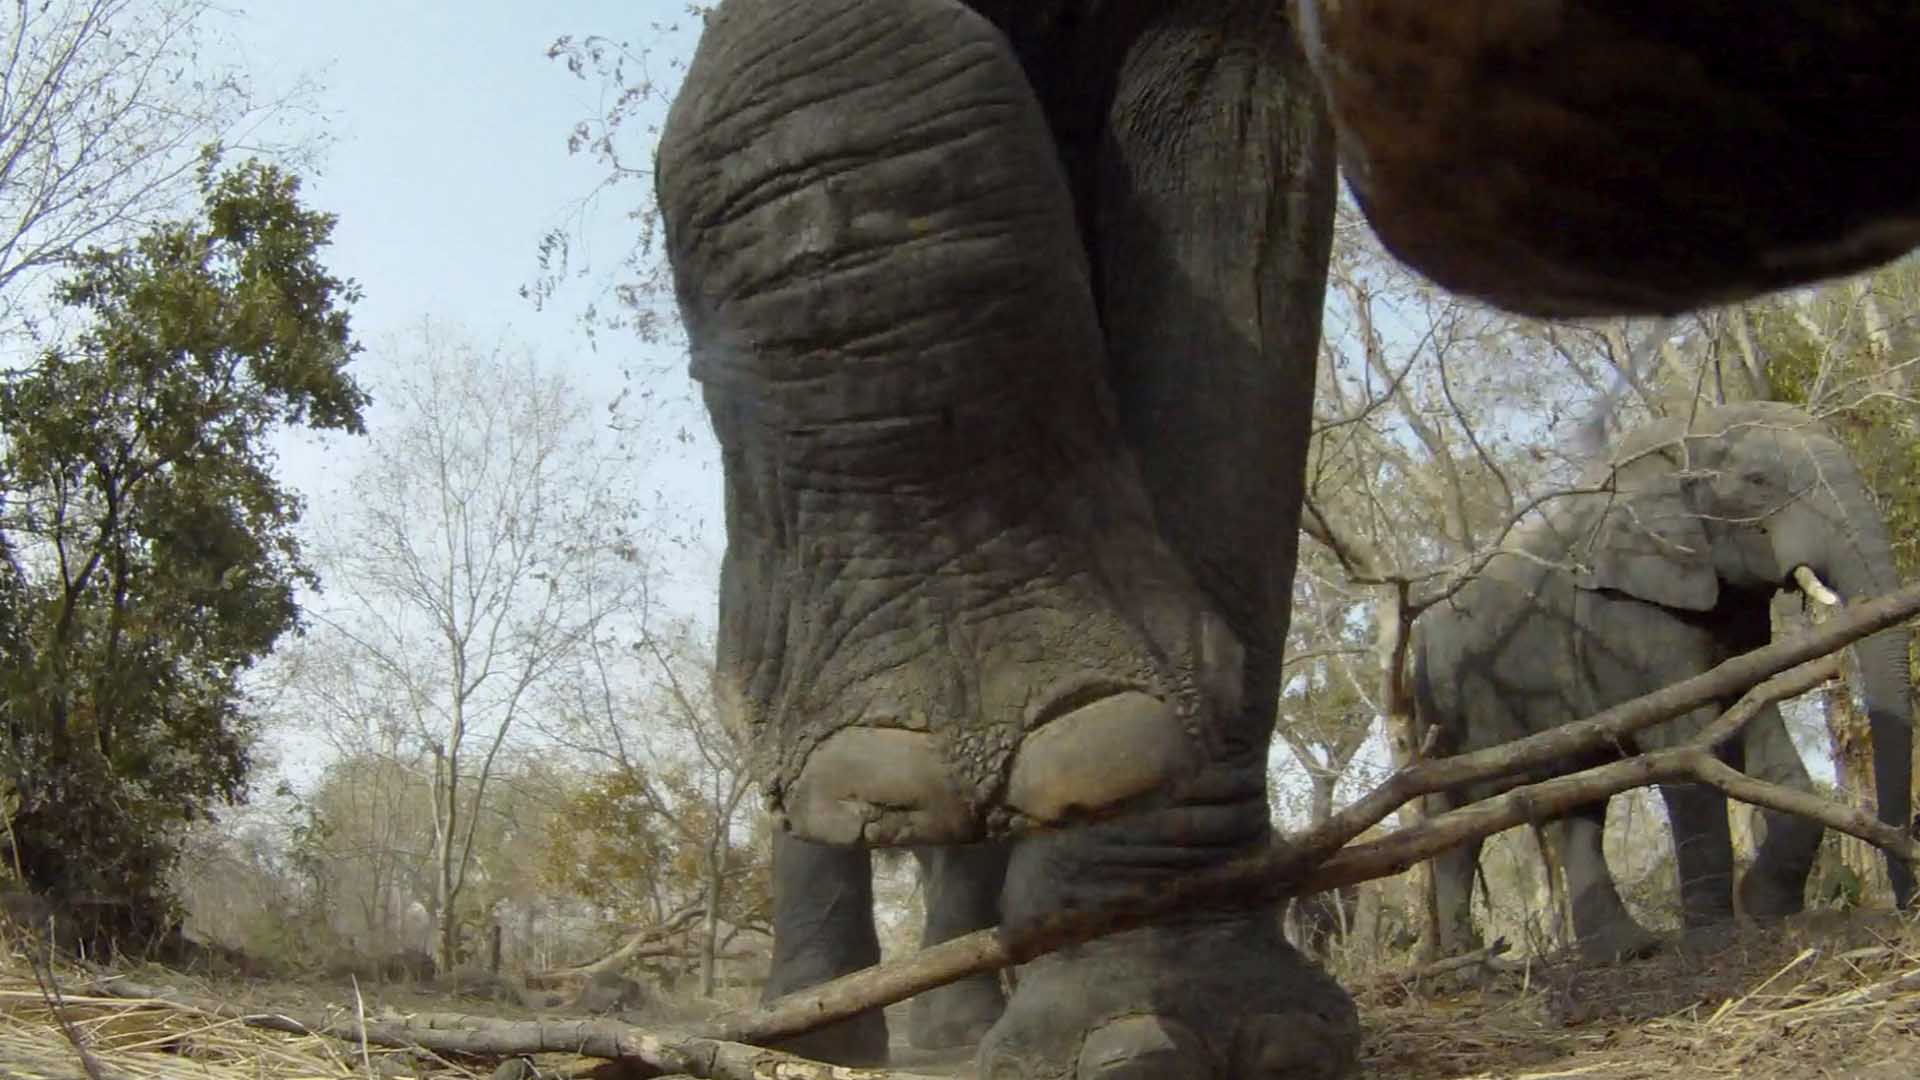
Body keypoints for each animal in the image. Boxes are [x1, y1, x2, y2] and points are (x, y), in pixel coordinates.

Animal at [1420, 401, 1912, 957]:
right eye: (1759, 481)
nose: (1906, 903)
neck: (1678, 441)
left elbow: (1751, 712)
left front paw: (1765, 908)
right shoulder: (1622, 614)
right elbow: (1680, 745)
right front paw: (1713, 932)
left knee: (1579, 804)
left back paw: (1626, 950)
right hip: (1441, 707)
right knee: (1457, 821)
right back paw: (1468, 959)